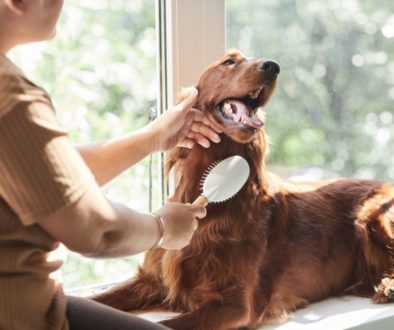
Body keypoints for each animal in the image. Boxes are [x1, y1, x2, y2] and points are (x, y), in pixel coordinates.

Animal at [92, 50, 394, 330]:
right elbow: (97, 300)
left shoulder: (237, 305)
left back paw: (387, 287)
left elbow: (167, 324)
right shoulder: (152, 280)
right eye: (229, 61)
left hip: (373, 217)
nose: (273, 66)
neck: (213, 194)